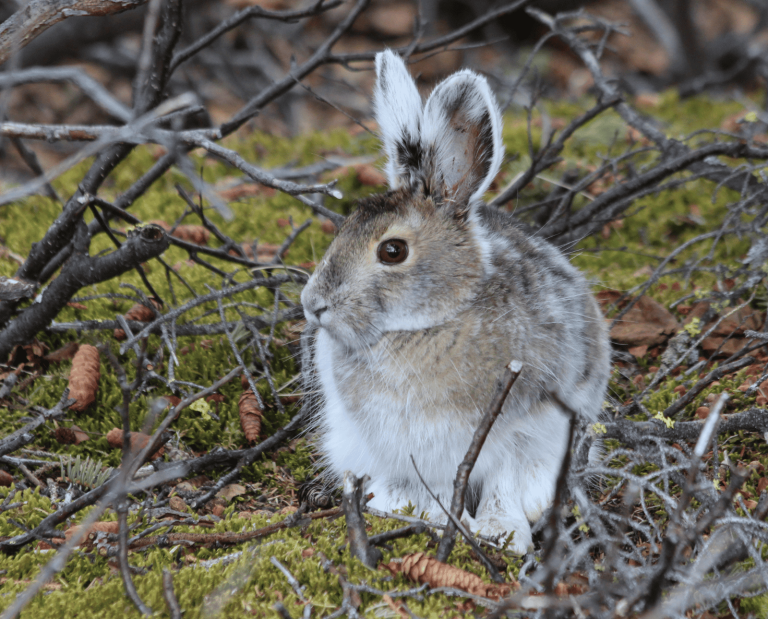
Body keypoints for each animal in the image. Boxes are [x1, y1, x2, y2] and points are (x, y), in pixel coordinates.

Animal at [300, 49, 610, 554]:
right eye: (342, 228)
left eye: (393, 251)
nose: (312, 304)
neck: (423, 326)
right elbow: (434, 490)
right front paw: (429, 517)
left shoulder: (521, 434)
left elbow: (503, 484)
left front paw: (501, 533)